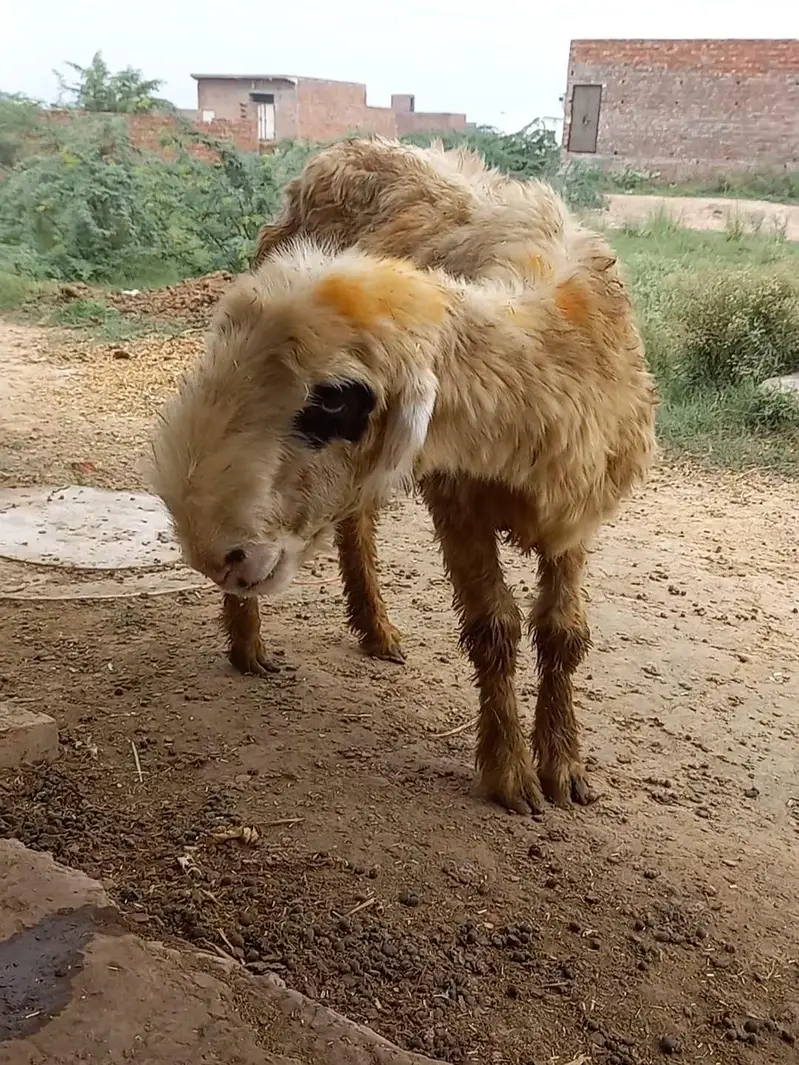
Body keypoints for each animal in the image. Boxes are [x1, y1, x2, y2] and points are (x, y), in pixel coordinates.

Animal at [148, 231, 658, 816]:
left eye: (335, 400)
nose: (217, 553)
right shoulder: (457, 500)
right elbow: (493, 629)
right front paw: (509, 772)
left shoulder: (576, 514)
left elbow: (563, 633)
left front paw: (565, 765)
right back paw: (247, 647)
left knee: (356, 523)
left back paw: (374, 630)